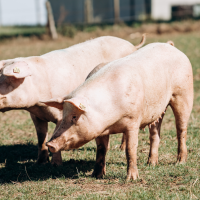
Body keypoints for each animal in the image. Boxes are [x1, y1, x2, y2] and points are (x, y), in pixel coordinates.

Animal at [0, 34, 145, 166]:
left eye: (5, 78)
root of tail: (132, 45)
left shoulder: (61, 113)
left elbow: (56, 133)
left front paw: (56, 164)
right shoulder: (36, 116)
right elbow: (41, 139)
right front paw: (40, 163)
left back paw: (121, 148)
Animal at [42, 41, 194, 180]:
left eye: (74, 116)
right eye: (63, 115)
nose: (49, 144)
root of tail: (170, 45)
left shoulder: (133, 120)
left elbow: (130, 149)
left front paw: (131, 179)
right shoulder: (99, 129)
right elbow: (101, 149)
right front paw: (96, 175)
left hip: (183, 94)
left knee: (181, 129)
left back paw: (179, 162)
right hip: (157, 109)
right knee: (155, 133)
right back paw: (151, 163)